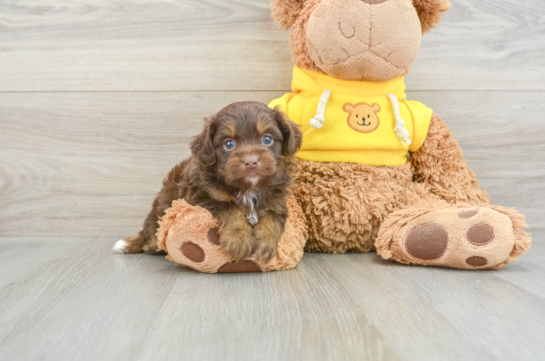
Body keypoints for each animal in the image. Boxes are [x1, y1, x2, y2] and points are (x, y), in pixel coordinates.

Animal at [113, 101, 302, 262]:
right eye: (229, 144)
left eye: (267, 139)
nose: (251, 162)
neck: (248, 187)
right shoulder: (201, 196)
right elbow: (229, 207)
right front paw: (239, 239)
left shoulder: (276, 200)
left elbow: (272, 217)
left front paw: (266, 244)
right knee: (150, 241)